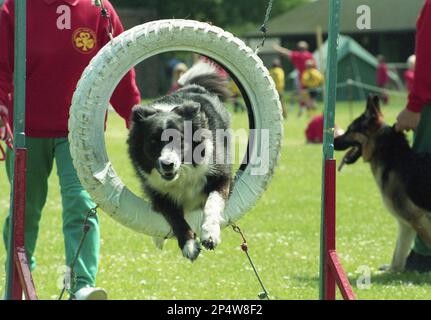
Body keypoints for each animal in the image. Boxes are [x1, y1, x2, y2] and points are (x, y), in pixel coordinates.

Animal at [127, 62, 233, 260]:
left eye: (180, 140)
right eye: (153, 141)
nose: (167, 165)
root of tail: (192, 86)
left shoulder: (220, 175)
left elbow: (213, 203)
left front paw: (210, 235)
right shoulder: (158, 192)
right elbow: (175, 217)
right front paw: (189, 245)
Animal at [336, 96, 431, 272]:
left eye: (350, 130)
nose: (332, 140)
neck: (395, 158)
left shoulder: (417, 219)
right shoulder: (406, 224)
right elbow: (398, 254)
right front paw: (393, 271)